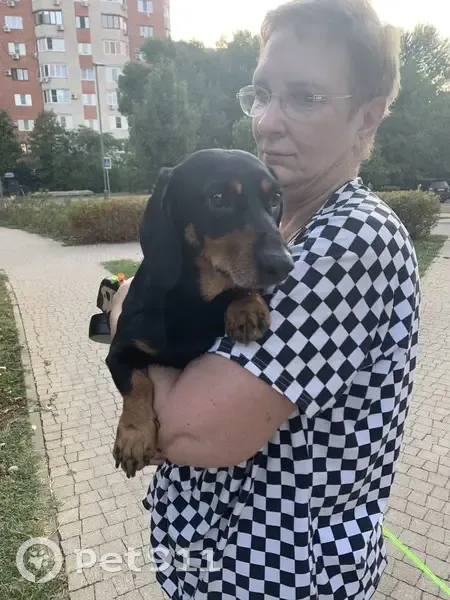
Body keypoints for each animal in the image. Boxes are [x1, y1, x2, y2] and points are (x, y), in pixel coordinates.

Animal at [106, 148, 294, 478]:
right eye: (217, 198)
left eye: (274, 198)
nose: (283, 264)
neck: (193, 302)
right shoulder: (119, 350)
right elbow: (137, 383)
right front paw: (133, 437)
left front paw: (247, 306)